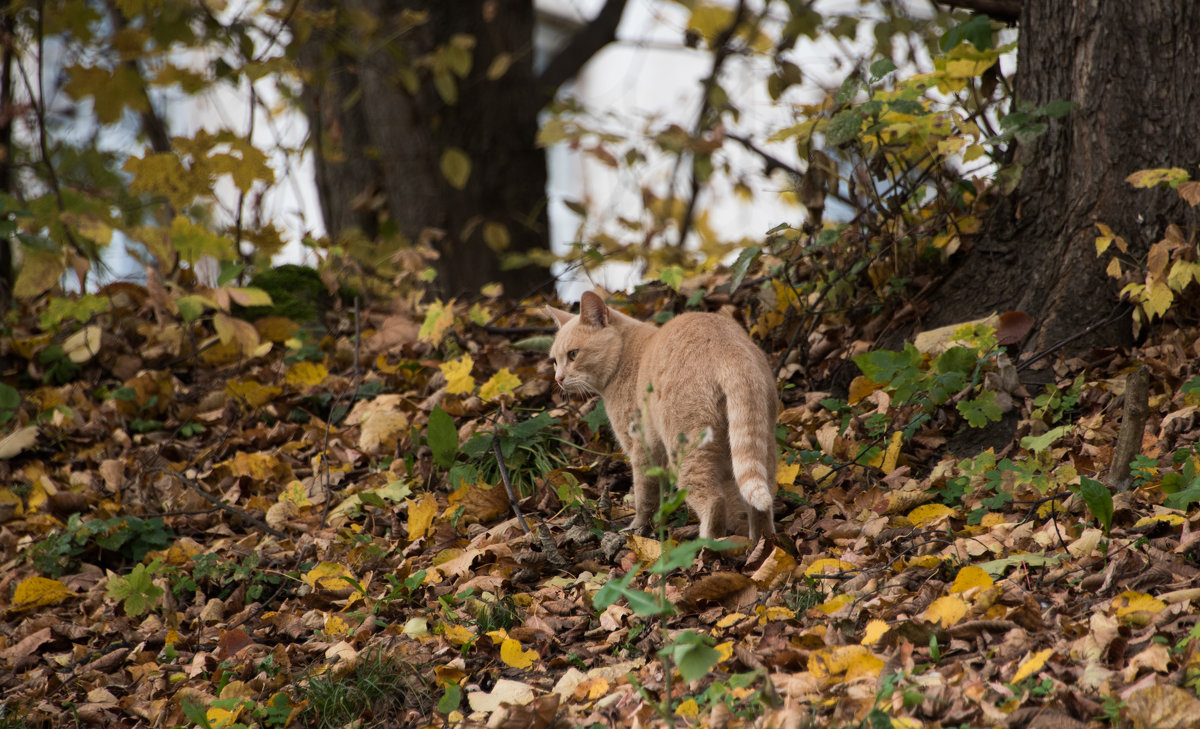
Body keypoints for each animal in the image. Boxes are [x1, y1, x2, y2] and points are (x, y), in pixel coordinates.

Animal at [549, 287, 782, 549]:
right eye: (555, 361)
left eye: (573, 354)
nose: (558, 378)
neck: (625, 357)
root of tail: (729, 349)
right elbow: (735, 501)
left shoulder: (643, 449)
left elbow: (645, 498)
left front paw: (636, 529)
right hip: (759, 442)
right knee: (761, 503)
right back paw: (761, 545)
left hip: (686, 449)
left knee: (713, 502)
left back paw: (705, 548)